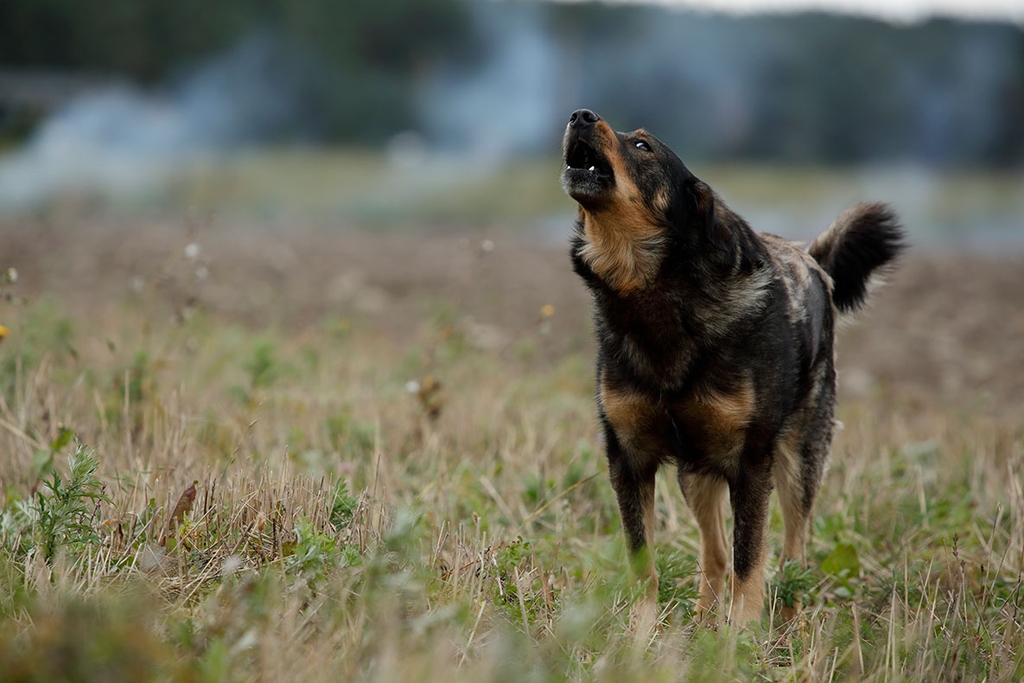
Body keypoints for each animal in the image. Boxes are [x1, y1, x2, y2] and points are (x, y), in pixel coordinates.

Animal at [561, 109, 905, 626]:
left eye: (642, 146)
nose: (580, 115)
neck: (657, 297)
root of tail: (812, 258)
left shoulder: (750, 463)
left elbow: (751, 560)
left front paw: (740, 634)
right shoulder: (629, 457)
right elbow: (645, 560)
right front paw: (642, 631)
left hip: (800, 459)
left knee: (793, 554)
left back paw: (786, 619)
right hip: (696, 470)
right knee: (715, 552)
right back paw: (704, 618)